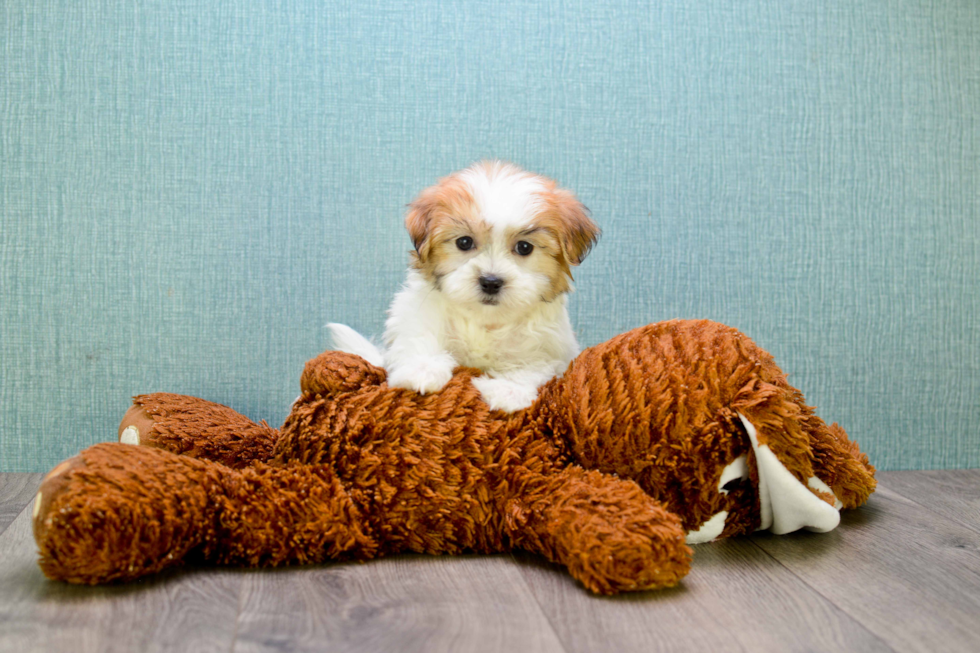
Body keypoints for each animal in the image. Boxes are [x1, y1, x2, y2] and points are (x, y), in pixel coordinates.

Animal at [334, 160, 600, 410]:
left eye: (524, 247)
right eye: (464, 242)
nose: (491, 282)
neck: (485, 322)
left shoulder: (550, 347)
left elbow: (533, 365)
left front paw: (508, 390)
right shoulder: (419, 314)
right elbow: (419, 338)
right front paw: (422, 370)